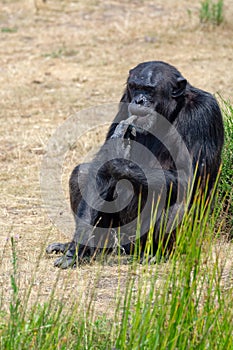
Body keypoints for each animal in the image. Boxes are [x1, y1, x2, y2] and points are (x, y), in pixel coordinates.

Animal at [46, 60, 224, 268]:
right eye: (134, 87)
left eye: (149, 89)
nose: (139, 100)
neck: (171, 111)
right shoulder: (125, 100)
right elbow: (98, 171)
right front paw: (77, 246)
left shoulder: (204, 113)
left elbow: (190, 176)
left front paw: (116, 157)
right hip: (117, 236)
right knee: (81, 173)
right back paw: (90, 246)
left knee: (179, 199)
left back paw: (157, 254)